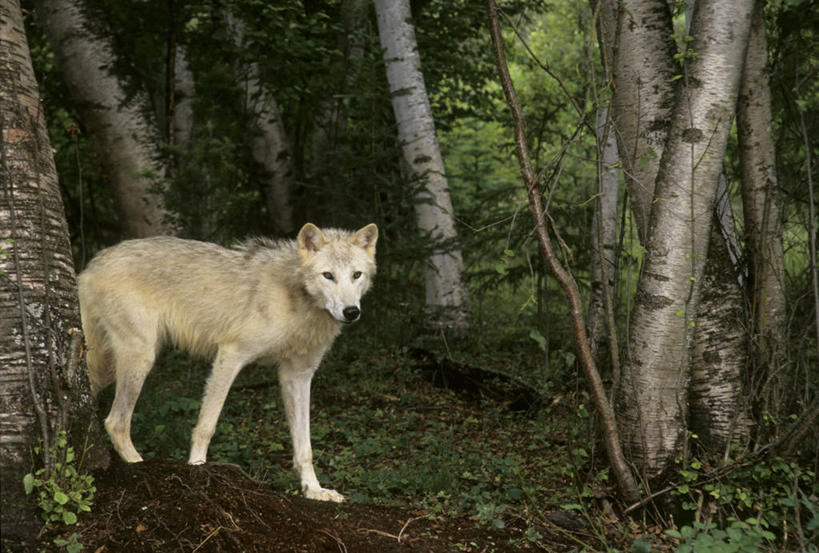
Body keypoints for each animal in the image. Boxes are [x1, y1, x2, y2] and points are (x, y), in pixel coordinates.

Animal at [78, 221, 380, 500]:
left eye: (356, 275)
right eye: (328, 275)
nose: (351, 312)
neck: (297, 300)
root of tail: (90, 267)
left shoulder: (298, 375)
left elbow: (304, 445)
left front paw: (314, 490)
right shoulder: (231, 354)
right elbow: (206, 425)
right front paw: (197, 468)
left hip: (108, 367)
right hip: (140, 358)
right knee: (116, 422)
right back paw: (143, 469)